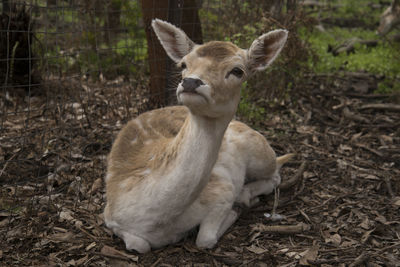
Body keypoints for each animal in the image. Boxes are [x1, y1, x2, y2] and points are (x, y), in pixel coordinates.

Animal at [103, 18, 290, 253]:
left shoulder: (222, 189)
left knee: (276, 175)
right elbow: (139, 244)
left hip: (260, 153)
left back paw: (246, 196)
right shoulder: (110, 216)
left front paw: (235, 209)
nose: (191, 82)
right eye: (184, 64)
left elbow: (205, 239)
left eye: (237, 70)